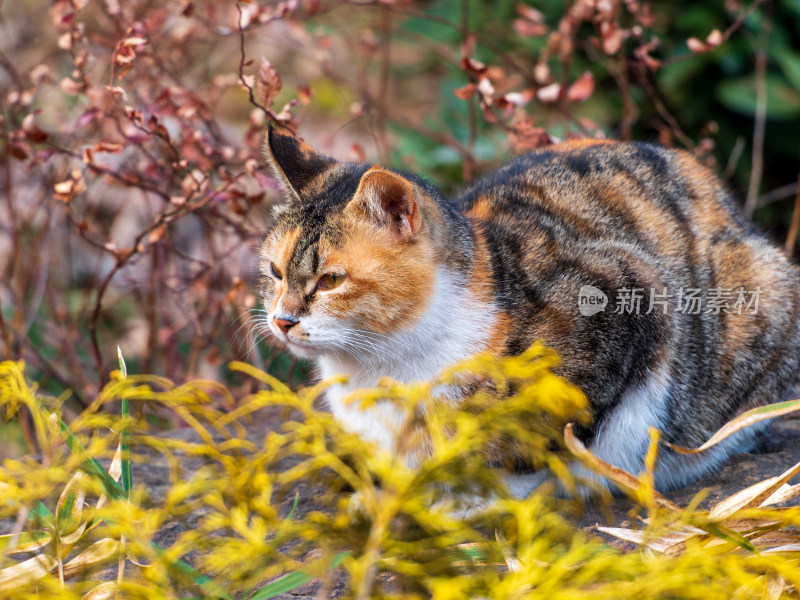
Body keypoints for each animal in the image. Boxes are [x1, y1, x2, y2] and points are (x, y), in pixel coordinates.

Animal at [258, 124, 800, 494]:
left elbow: (534, 440)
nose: (282, 320)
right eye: (275, 271)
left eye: (331, 280)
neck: (381, 368)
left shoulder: (625, 297)